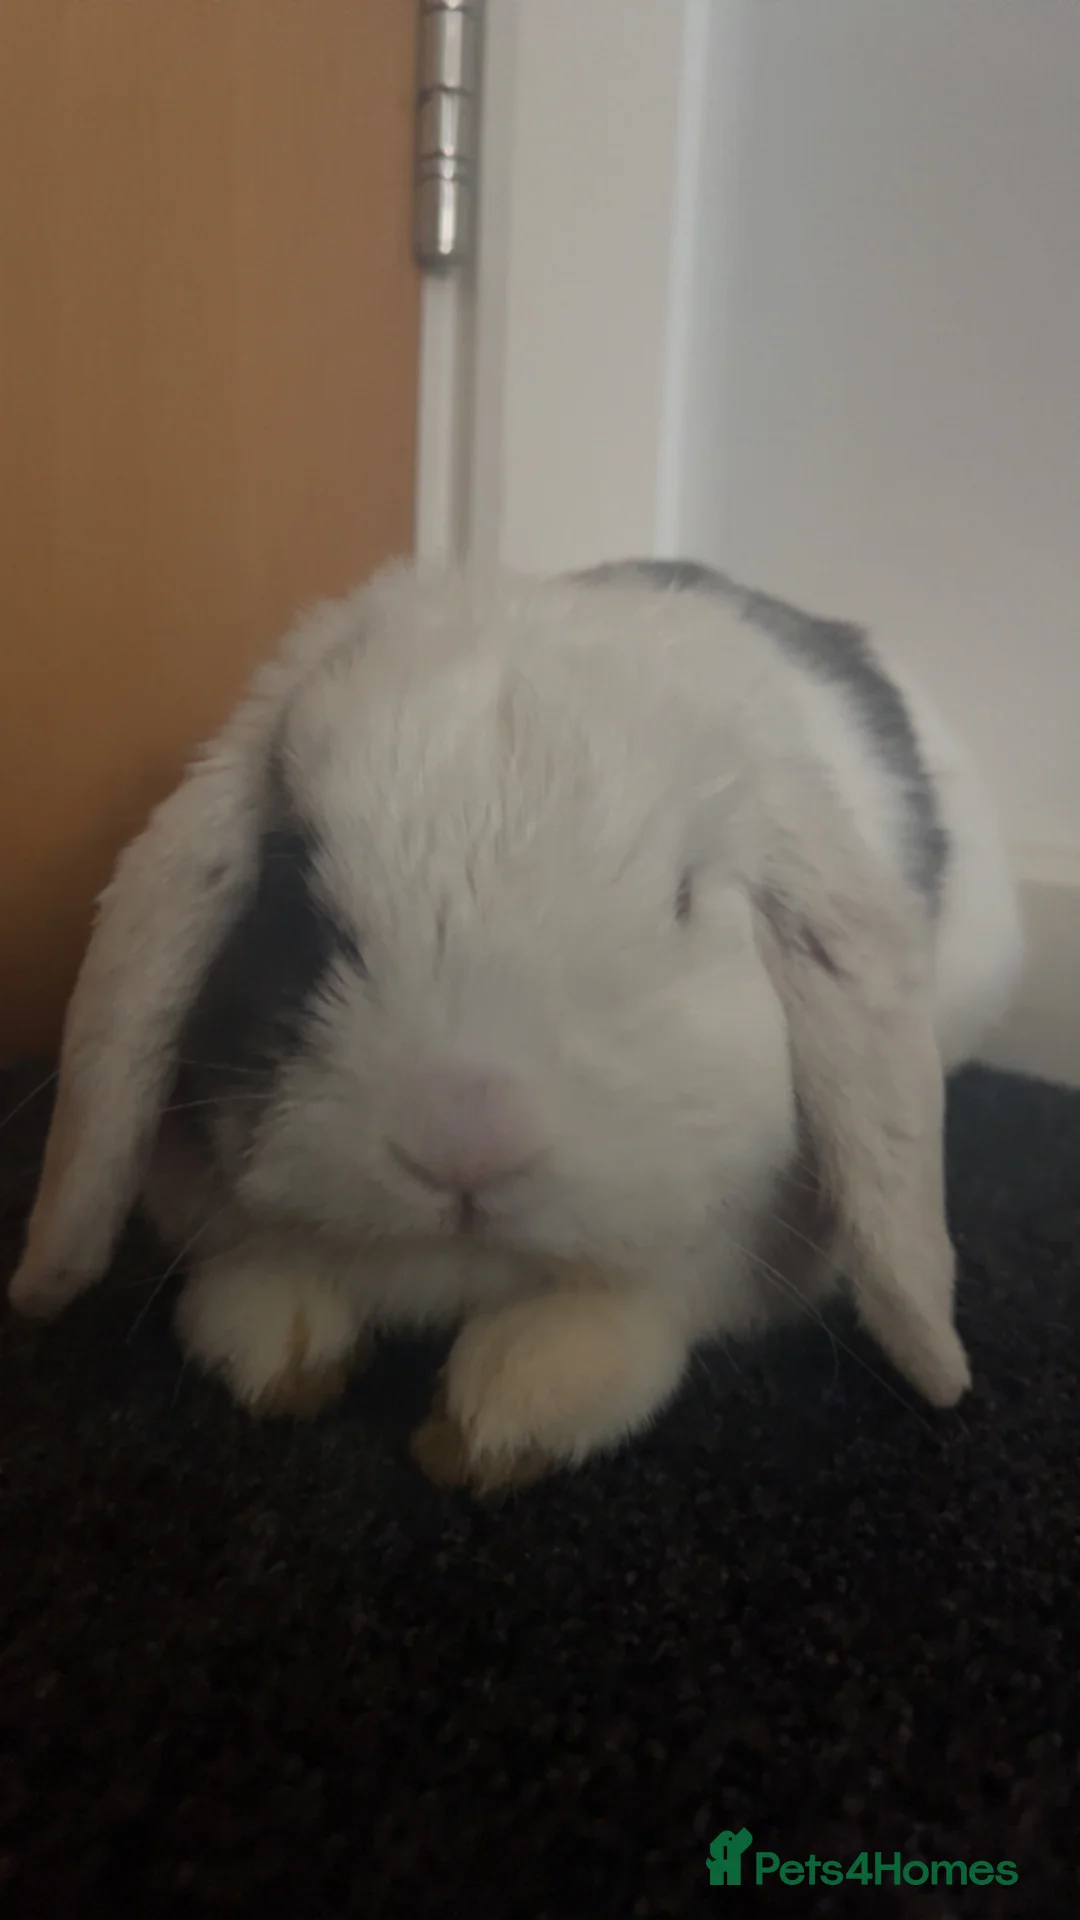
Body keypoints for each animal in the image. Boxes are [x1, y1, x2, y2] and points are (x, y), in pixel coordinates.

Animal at [8, 558, 1023, 1490]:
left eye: (685, 901)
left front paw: (505, 1416)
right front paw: (281, 1348)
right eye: (293, 885)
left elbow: (641, 1305)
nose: (463, 1143)